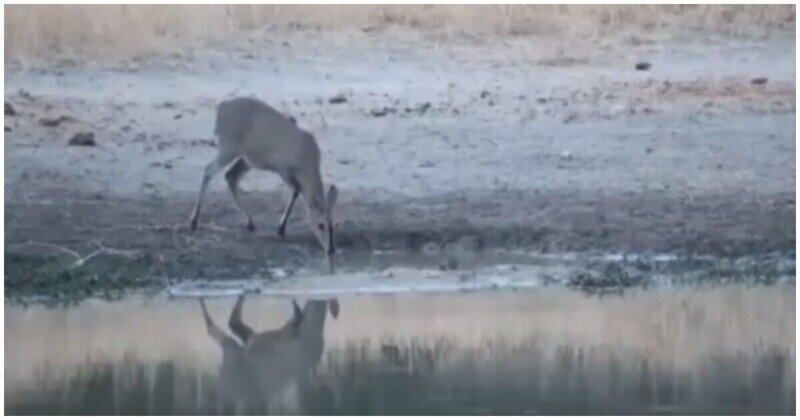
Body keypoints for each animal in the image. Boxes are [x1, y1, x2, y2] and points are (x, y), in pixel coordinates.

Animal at [192, 97, 340, 256]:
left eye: (333, 225)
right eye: (320, 225)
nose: (331, 249)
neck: (306, 160)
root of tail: (221, 107)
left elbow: (296, 191)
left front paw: (281, 228)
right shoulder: (283, 169)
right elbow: (296, 190)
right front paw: (281, 228)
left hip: (246, 159)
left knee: (230, 176)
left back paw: (250, 223)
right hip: (228, 148)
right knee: (209, 171)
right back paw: (194, 221)